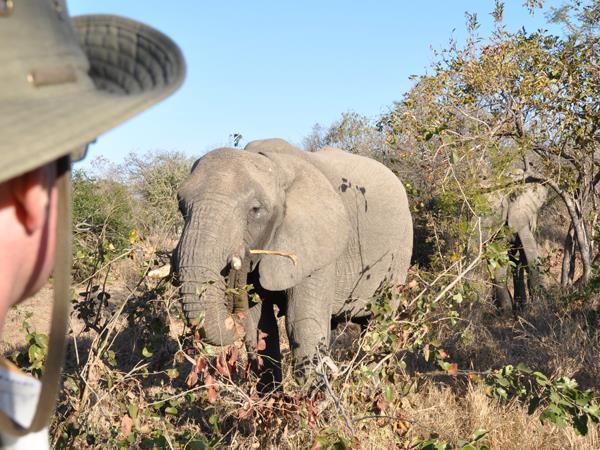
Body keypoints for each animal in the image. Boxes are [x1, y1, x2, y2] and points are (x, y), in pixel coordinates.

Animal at [173, 137, 412, 386]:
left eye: (256, 210)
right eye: (181, 205)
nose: (234, 265)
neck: (275, 166)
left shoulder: (319, 248)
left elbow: (301, 324)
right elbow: (259, 327)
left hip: (399, 253)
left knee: (379, 320)